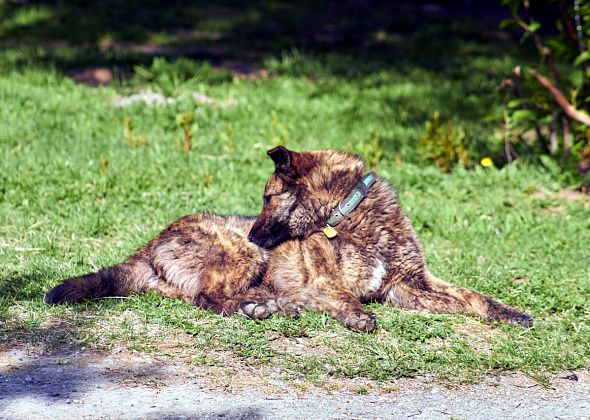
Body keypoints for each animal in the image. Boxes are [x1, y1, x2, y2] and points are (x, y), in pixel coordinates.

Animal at [46, 148, 536, 332]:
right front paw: (357, 316)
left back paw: (267, 304)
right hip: (239, 253)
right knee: (208, 297)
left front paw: (509, 312)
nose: (255, 232)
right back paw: (262, 308)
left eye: (267, 197)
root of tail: (148, 245)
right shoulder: (325, 281)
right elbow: (342, 293)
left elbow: (473, 297)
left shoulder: (411, 284)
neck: (352, 215)